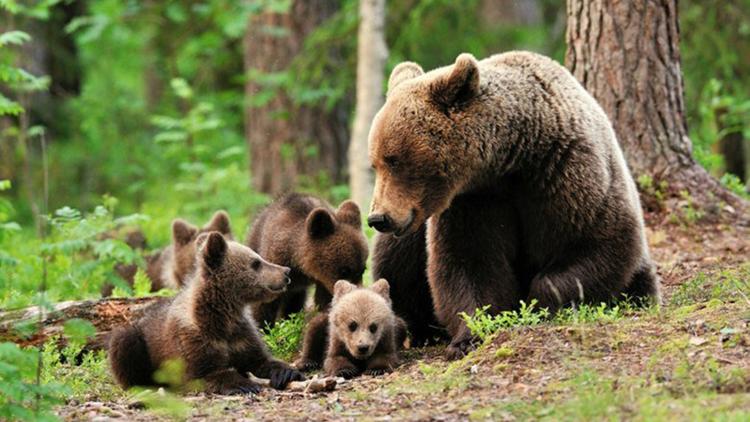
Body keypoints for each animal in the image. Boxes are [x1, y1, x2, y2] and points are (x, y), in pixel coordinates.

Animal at [368, 50, 660, 360]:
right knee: (396, 261)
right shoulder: (473, 201)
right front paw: (469, 336)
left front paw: (538, 304)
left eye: (393, 159)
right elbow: (469, 263)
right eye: (375, 162)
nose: (378, 218)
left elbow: (595, 242)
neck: (512, 158)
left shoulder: (567, 172)